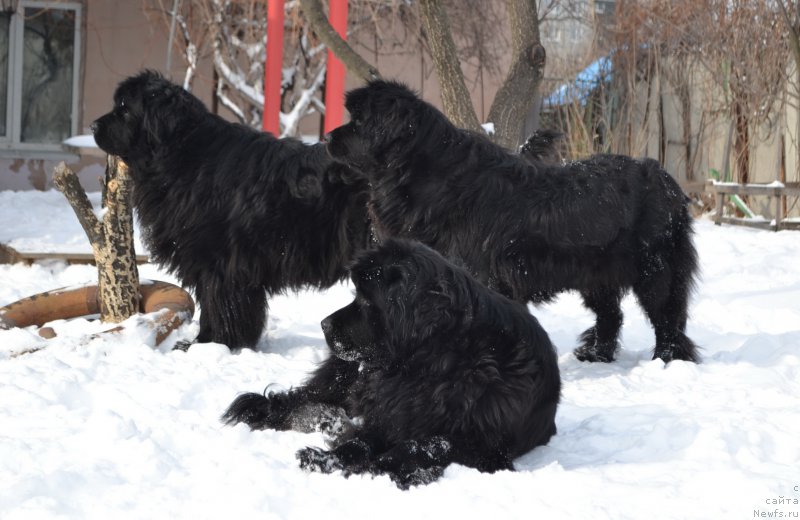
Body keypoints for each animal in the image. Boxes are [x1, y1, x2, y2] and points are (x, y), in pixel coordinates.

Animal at [90, 71, 368, 350]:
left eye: (125, 110)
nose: (93, 126)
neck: (183, 154)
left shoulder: (218, 260)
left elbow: (217, 305)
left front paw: (209, 343)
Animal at [223, 238, 564, 490]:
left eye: (365, 300)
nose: (324, 324)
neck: (437, 363)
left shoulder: (481, 444)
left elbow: (422, 445)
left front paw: (379, 468)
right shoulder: (390, 412)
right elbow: (362, 440)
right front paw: (328, 458)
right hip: (346, 374)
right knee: (303, 396)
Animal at [324, 82, 700, 366]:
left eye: (359, 121)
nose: (327, 137)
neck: (430, 178)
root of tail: (667, 179)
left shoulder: (478, 275)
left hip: (657, 269)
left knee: (668, 315)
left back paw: (669, 358)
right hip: (597, 275)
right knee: (611, 315)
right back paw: (595, 355)